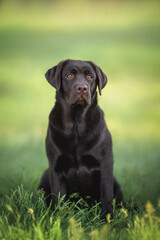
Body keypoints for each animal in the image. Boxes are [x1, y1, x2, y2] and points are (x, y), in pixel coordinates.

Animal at [39, 59, 124, 217]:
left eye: (90, 77)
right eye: (69, 75)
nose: (82, 88)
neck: (76, 127)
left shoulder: (105, 164)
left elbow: (106, 195)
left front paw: (107, 219)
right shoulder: (56, 166)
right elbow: (58, 198)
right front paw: (59, 218)